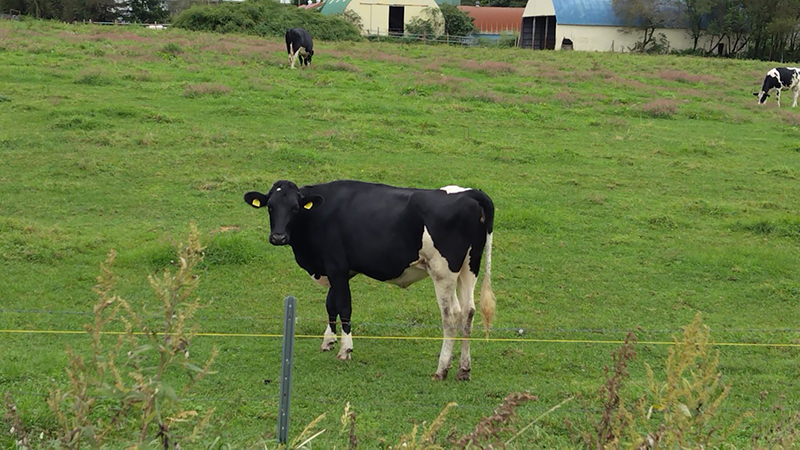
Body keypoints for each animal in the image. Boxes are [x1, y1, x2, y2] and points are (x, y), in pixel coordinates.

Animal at [244, 179, 494, 380]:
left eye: (295, 208)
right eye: (270, 207)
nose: (278, 237)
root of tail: (469, 193)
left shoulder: (336, 266)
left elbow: (344, 306)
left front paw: (345, 349)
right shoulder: (340, 269)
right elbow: (330, 303)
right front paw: (328, 340)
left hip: (443, 271)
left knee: (451, 315)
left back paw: (441, 369)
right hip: (469, 267)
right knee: (468, 312)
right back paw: (463, 369)